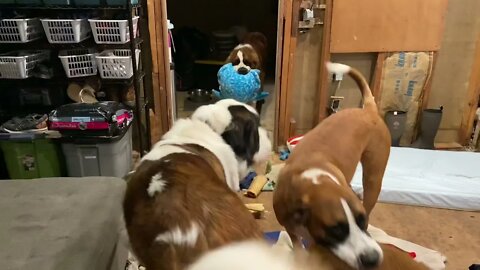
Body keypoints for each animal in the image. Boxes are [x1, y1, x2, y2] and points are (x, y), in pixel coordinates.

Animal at [272, 62, 392, 268]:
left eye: (362, 220)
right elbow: (297, 244)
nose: (373, 259)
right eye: (336, 230)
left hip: (373, 179)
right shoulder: (289, 225)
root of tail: (368, 109)